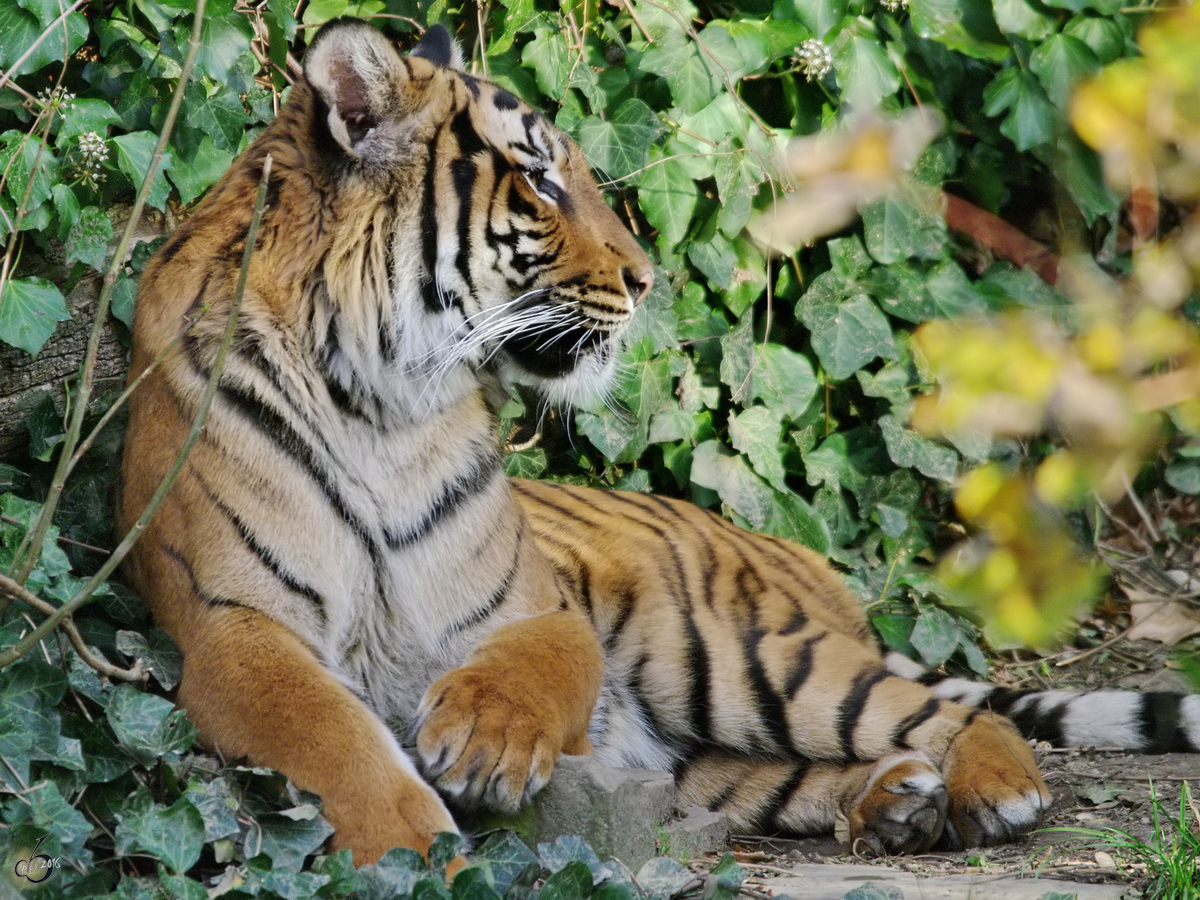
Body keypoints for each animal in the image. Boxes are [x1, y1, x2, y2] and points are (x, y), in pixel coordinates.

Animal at [119, 15, 1200, 873]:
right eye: (539, 181)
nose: (646, 279)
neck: (380, 403)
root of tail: (807, 561)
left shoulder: (529, 604)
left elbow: (545, 660)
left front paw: (483, 739)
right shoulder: (231, 628)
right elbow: (329, 736)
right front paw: (415, 851)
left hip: (730, 654)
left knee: (944, 707)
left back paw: (994, 787)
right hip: (713, 756)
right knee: (781, 776)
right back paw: (894, 803)